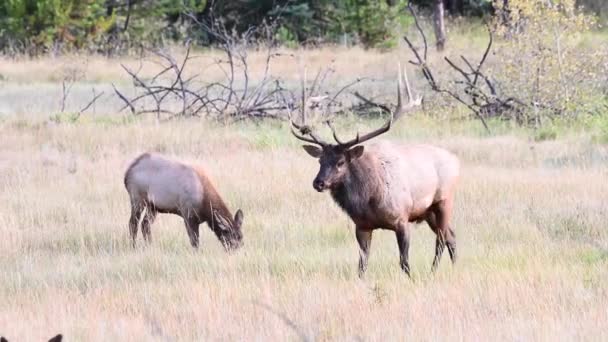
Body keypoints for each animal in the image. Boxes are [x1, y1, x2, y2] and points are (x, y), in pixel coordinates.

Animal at [292, 65, 458, 278]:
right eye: (320, 161)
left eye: (341, 162)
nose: (318, 182)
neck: (369, 199)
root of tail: (456, 161)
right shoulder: (362, 226)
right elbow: (362, 265)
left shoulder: (402, 219)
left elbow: (404, 262)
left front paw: (412, 280)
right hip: (428, 212)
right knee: (451, 236)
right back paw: (453, 267)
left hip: (444, 201)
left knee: (442, 239)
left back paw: (433, 271)